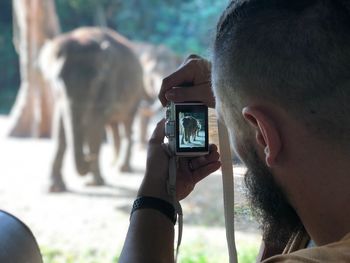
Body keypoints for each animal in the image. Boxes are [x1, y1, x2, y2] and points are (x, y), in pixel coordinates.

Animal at [40, 26, 150, 193]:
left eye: (96, 81)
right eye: (57, 80)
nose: (88, 156)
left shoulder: (108, 82)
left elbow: (94, 124)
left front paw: (94, 183)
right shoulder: (58, 95)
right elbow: (60, 125)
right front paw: (54, 188)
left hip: (136, 95)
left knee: (127, 125)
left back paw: (122, 168)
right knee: (113, 126)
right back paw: (112, 163)